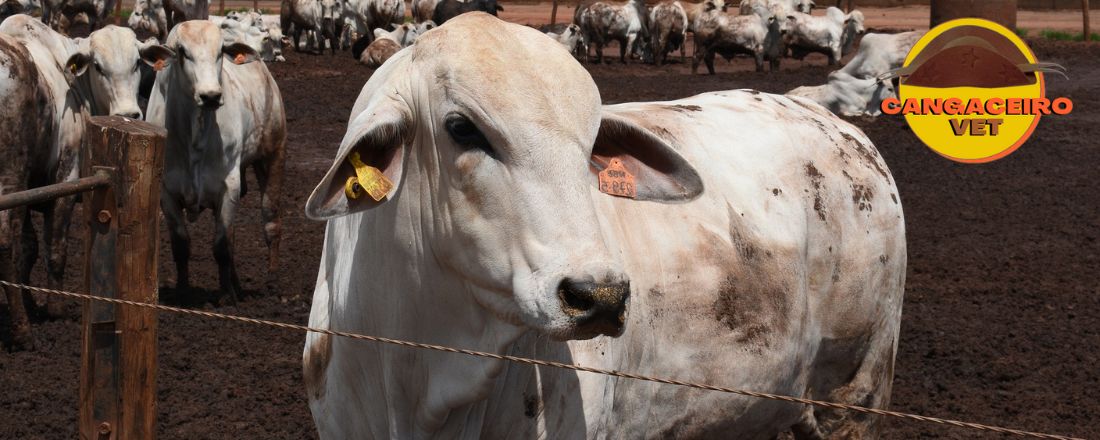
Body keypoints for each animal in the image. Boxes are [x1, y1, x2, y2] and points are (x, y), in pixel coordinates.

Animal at [148, 19, 290, 303]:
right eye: (182, 52)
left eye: (220, 51)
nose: (211, 95)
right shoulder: (166, 192)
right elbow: (182, 244)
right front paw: (183, 291)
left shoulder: (228, 185)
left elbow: (221, 245)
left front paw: (225, 296)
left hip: (273, 155)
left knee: (271, 221)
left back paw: (272, 282)